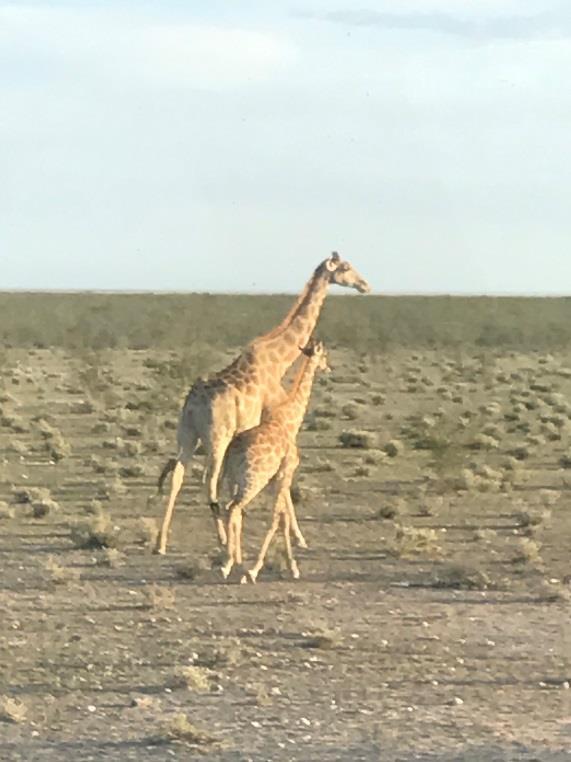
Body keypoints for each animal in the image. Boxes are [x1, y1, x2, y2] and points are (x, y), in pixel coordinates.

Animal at [154, 251, 374, 552]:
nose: (365, 285)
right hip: (217, 437)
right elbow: (282, 482)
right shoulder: (275, 421)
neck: (279, 361)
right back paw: (222, 539)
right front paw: (299, 537)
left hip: (187, 435)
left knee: (178, 475)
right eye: (346, 267)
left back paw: (161, 542)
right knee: (208, 481)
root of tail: (193, 405)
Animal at [221, 336, 330, 580]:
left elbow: (282, 518)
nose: (328, 367)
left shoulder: (276, 480)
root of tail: (233, 452)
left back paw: (232, 561)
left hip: (232, 480)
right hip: (253, 480)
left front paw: (292, 566)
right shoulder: (285, 473)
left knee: (228, 509)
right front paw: (256, 569)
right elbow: (277, 518)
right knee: (234, 509)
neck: (289, 420)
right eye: (324, 354)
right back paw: (231, 564)